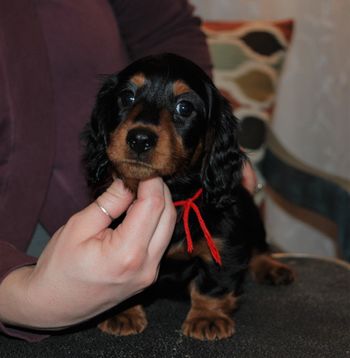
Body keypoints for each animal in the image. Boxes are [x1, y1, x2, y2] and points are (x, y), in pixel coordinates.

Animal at [83, 53, 294, 342]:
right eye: (127, 97)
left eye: (184, 107)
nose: (139, 139)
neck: (176, 196)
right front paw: (122, 312)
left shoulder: (225, 242)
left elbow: (215, 282)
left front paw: (207, 317)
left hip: (251, 215)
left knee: (259, 247)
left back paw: (271, 267)